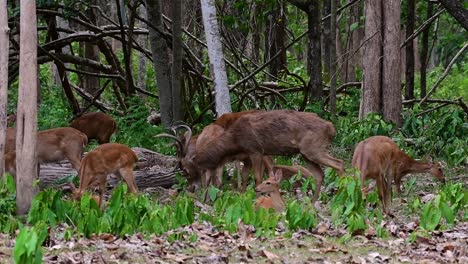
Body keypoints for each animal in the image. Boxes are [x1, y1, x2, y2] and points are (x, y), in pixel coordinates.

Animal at [193, 109, 344, 202]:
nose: (201, 197)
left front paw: (258, 196)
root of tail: (331, 128)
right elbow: (247, 175)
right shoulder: (253, 154)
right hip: (306, 153)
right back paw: (312, 203)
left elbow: (257, 177)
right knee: (319, 174)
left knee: (339, 163)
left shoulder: (255, 150)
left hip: (313, 148)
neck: (235, 143)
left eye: (201, 170)